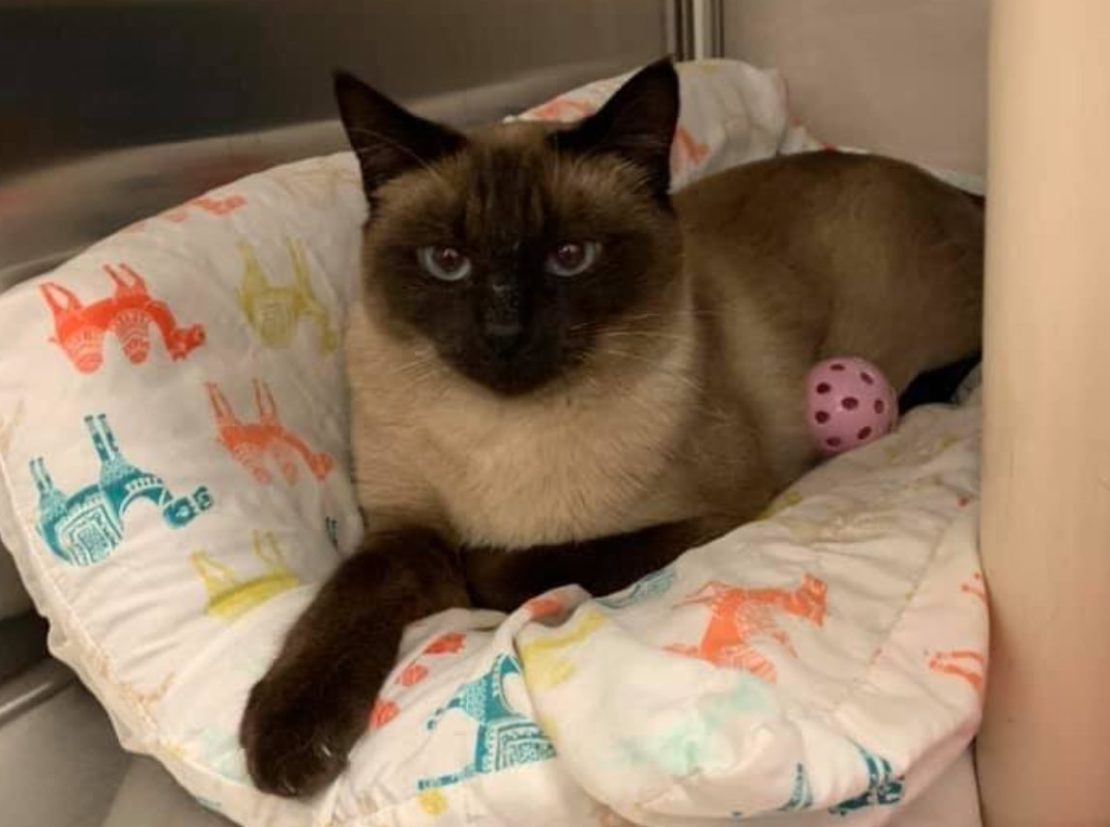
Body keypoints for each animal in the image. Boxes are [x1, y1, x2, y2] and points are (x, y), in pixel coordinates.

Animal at [240, 58, 981, 794]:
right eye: (446, 262)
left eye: (572, 256)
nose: (504, 333)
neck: (501, 435)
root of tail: (959, 192)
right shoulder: (404, 529)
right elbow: (344, 603)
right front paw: (287, 739)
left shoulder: (720, 515)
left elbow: (513, 563)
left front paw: (471, 575)